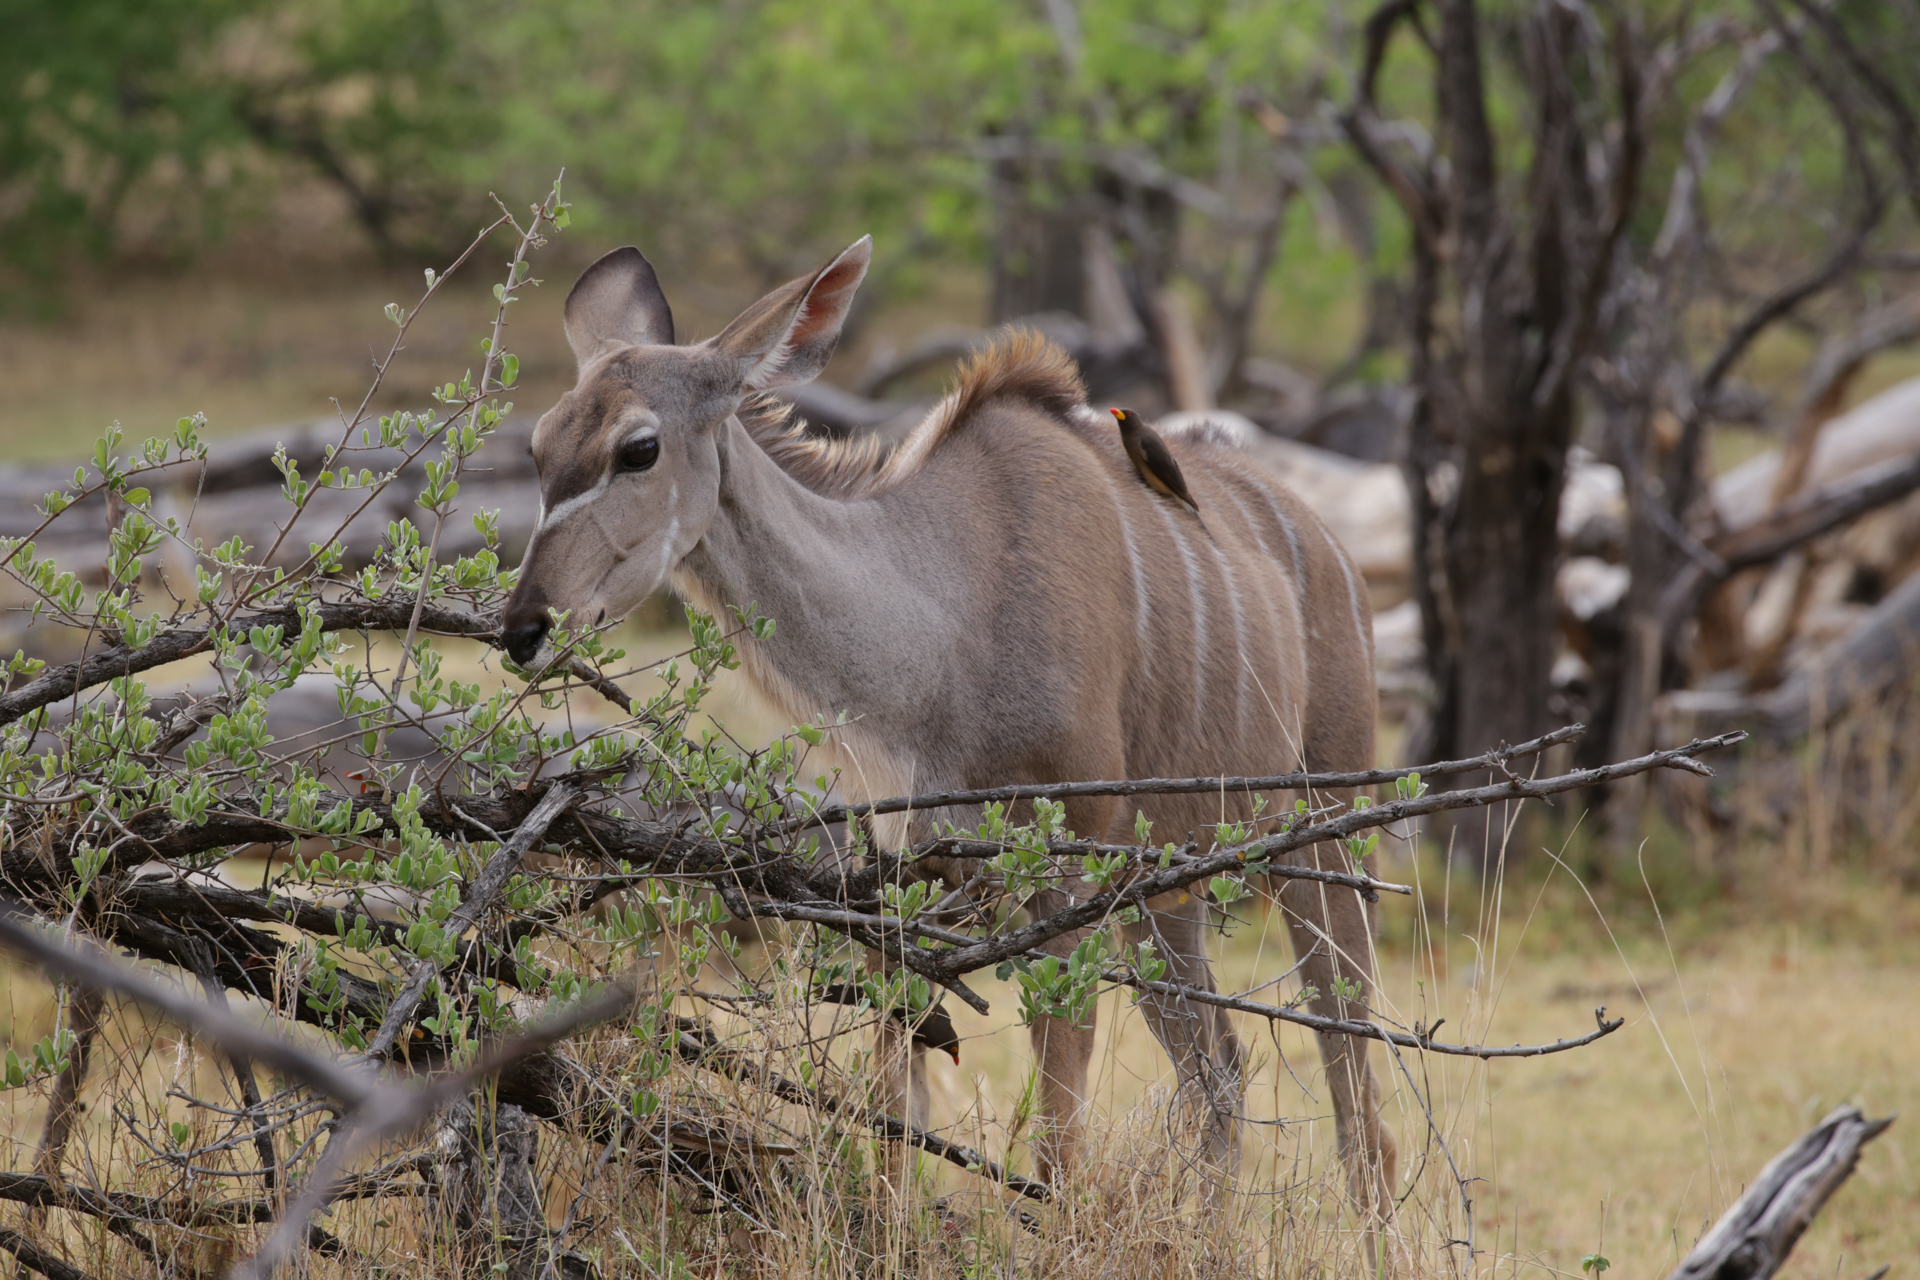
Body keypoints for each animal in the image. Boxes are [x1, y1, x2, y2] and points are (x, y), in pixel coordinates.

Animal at [495, 237, 1397, 1212]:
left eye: (639, 448)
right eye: (539, 444)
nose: (523, 629)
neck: (940, 634)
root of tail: (1334, 552)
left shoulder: (1063, 872)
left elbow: (1057, 1125)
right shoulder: (907, 881)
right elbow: (897, 1105)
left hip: (1319, 838)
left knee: (1353, 1075)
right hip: (1167, 892)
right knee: (1221, 1072)